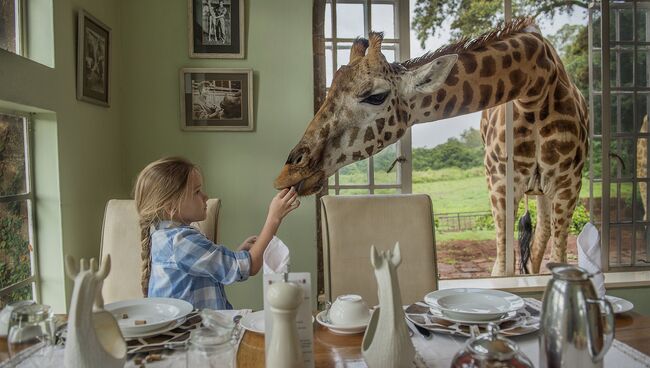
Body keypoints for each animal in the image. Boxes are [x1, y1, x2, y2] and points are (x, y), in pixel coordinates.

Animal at [274, 18, 588, 276]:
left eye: (375, 96)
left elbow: (554, 259)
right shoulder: (499, 183)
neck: (535, 87)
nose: (289, 173)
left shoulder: (569, 185)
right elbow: (501, 268)